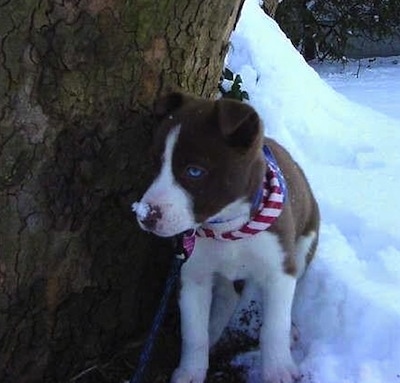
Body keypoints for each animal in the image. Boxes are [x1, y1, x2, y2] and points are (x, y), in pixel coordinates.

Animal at [133, 93, 320, 383]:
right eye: (155, 163)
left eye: (194, 171)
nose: (145, 216)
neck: (228, 229)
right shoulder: (193, 275)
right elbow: (194, 333)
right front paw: (190, 372)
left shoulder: (280, 269)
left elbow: (274, 326)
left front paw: (278, 369)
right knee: (228, 297)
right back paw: (214, 331)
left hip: (304, 247)